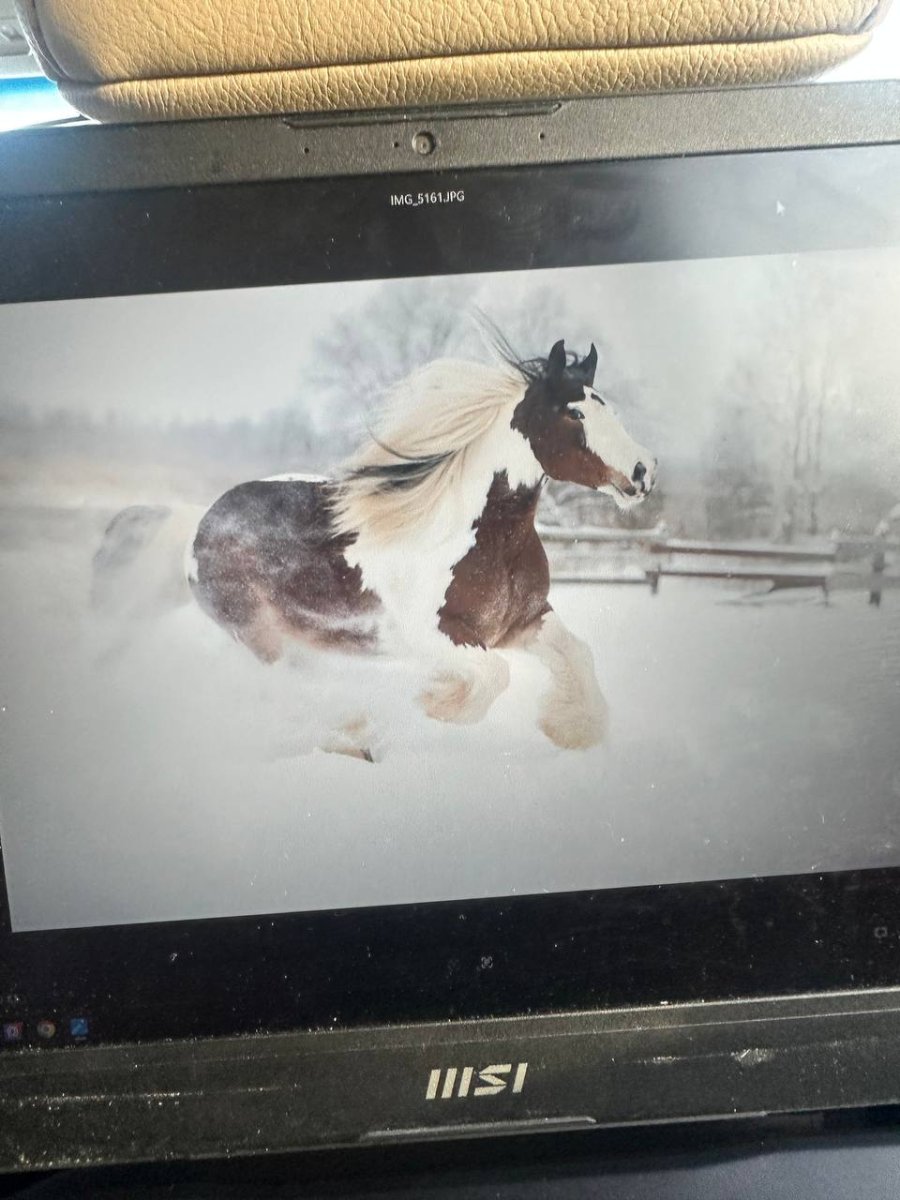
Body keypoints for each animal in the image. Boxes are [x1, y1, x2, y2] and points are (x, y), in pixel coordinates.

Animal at [184, 338, 656, 758]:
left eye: (608, 407)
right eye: (575, 412)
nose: (645, 471)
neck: (481, 537)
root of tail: (203, 527)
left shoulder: (525, 621)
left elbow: (579, 655)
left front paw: (572, 730)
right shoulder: (433, 635)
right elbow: (494, 675)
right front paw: (433, 702)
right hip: (261, 636)